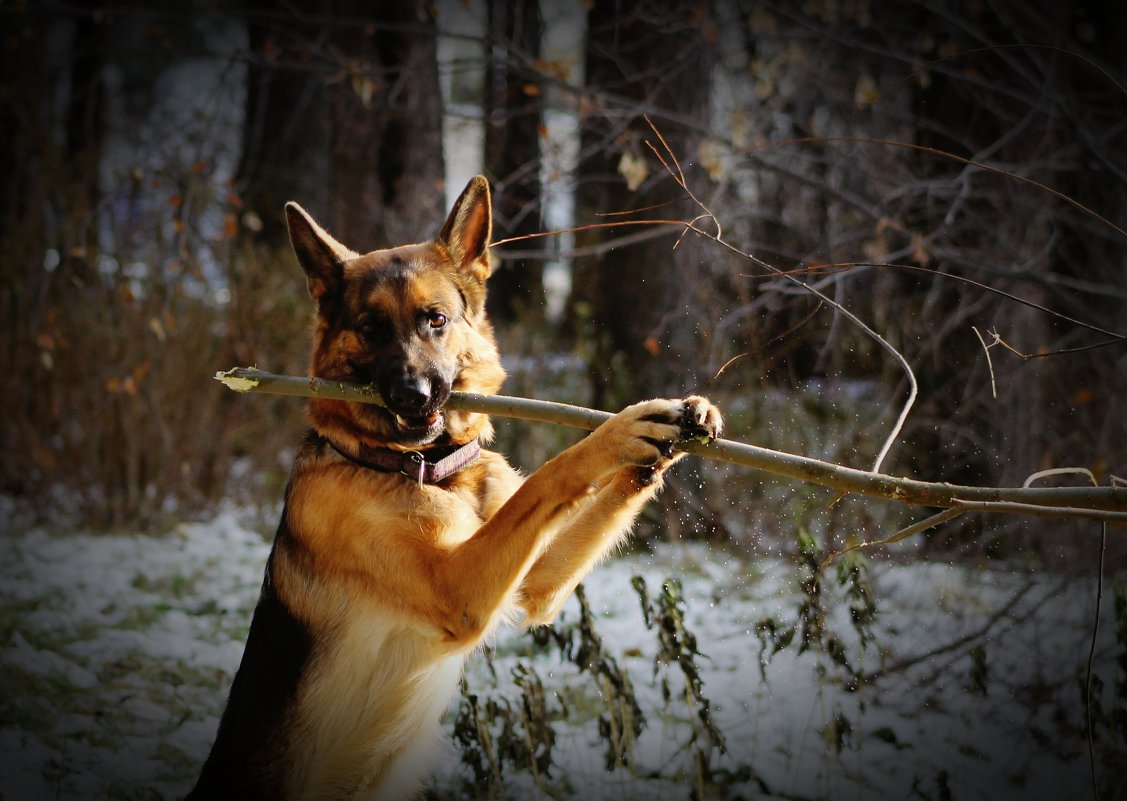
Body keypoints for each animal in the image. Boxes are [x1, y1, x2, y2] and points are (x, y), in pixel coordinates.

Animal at [187, 179, 721, 797]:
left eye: (435, 319)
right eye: (371, 329)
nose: (413, 396)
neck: (425, 468)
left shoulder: (534, 581)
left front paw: (677, 425)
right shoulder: (459, 592)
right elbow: (551, 475)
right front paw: (613, 433)